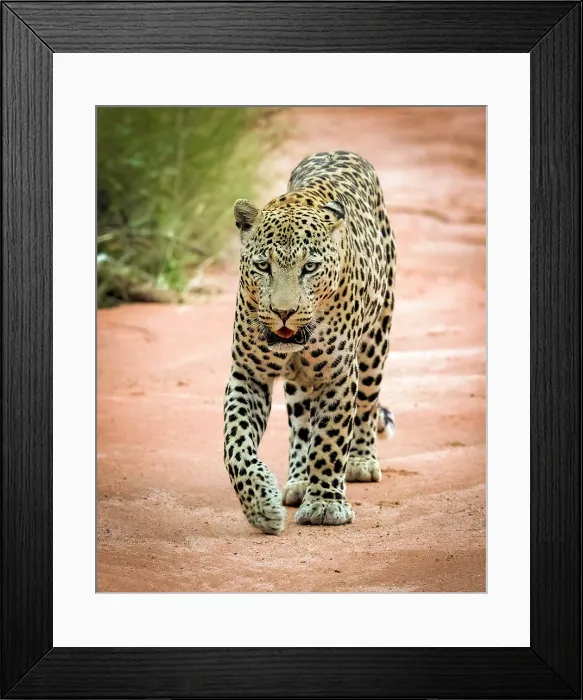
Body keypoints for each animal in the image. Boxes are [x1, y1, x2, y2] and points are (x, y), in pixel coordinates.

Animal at [223, 150, 396, 535]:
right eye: (263, 266)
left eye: (310, 267)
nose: (283, 312)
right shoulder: (248, 373)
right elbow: (235, 443)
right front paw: (261, 505)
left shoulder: (339, 374)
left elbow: (330, 439)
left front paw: (326, 505)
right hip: (299, 385)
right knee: (301, 426)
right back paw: (299, 481)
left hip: (375, 342)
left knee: (366, 406)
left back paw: (360, 462)